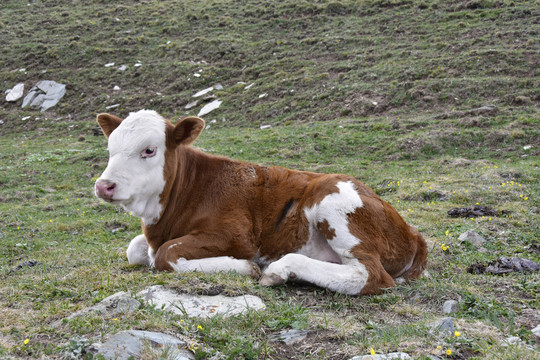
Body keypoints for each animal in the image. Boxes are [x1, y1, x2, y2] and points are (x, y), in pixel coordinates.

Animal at [95, 109, 428, 296]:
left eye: (149, 150)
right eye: (110, 149)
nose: (103, 185)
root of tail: (413, 232)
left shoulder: (237, 234)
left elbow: (165, 254)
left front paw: (243, 267)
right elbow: (135, 249)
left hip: (332, 200)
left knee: (370, 275)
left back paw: (279, 269)